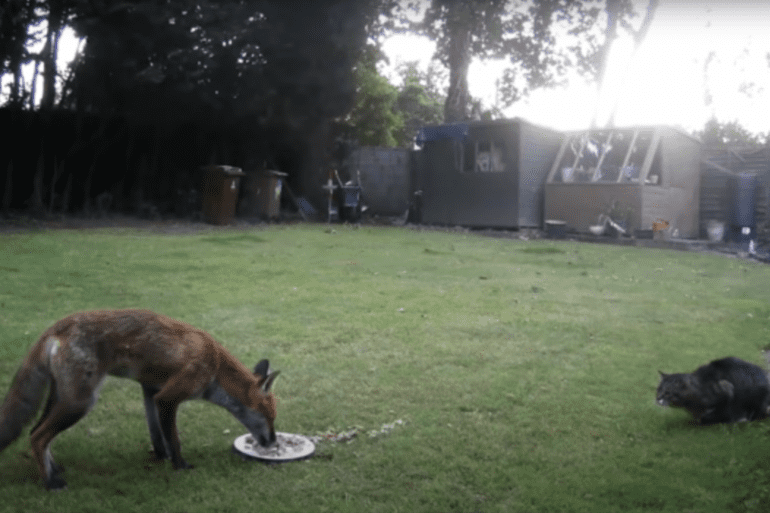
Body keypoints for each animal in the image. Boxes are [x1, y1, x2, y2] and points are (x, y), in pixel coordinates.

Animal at [0, 309, 280, 490]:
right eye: (270, 417)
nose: (275, 443)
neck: (216, 367)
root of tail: (57, 326)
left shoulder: (151, 391)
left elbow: (157, 435)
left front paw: (161, 458)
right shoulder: (168, 398)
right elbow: (174, 440)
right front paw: (180, 466)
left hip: (62, 398)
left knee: (36, 432)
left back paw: (53, 469)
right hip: (79, 403)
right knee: (38, 437)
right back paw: (50, 483)